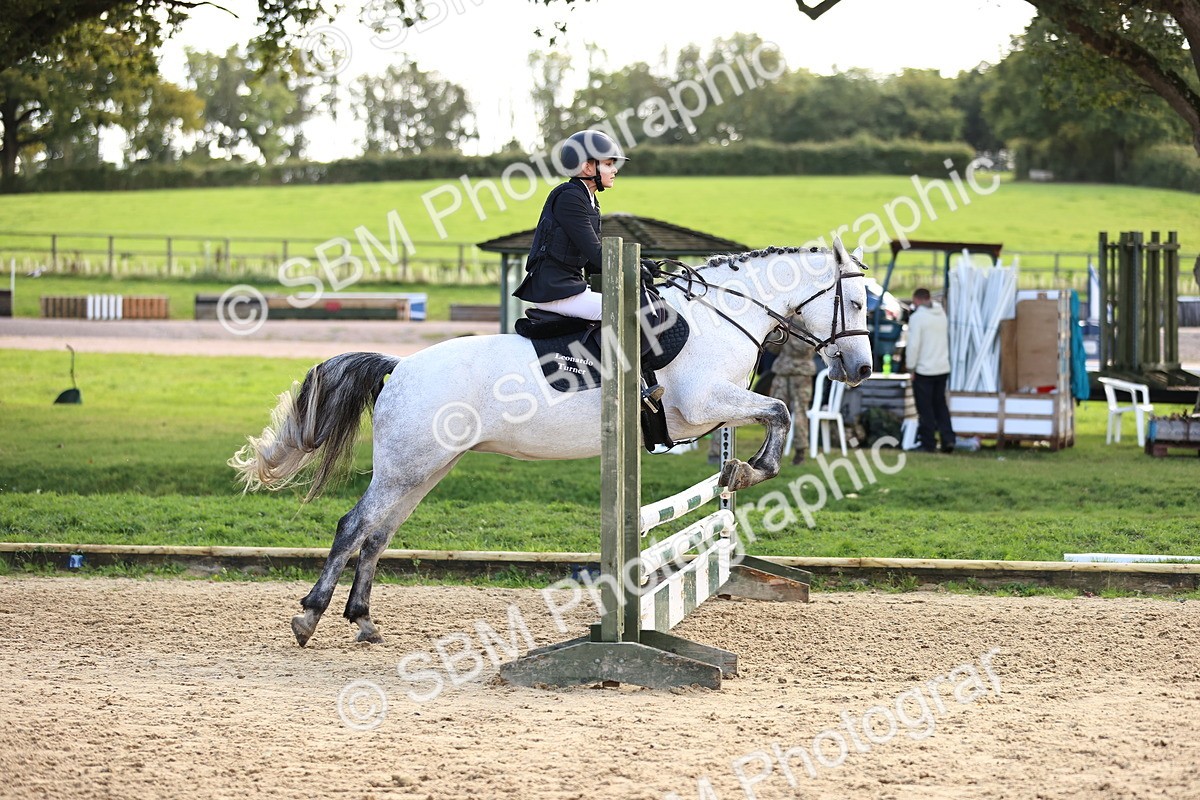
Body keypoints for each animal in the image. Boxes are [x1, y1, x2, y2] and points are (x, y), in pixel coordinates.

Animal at [229, 238, 874, 646]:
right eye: (858, 301)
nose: (861, 368)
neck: (720, 315)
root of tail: (400, 365)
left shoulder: (712, 412)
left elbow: (773, 415)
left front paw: (736, 470)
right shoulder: (702, 406)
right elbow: (781, 410)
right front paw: (746, 470)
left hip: (426, 469)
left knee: (378, 533)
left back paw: (363, 621)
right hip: (407, 468)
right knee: (353, 526)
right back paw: (310, 618)